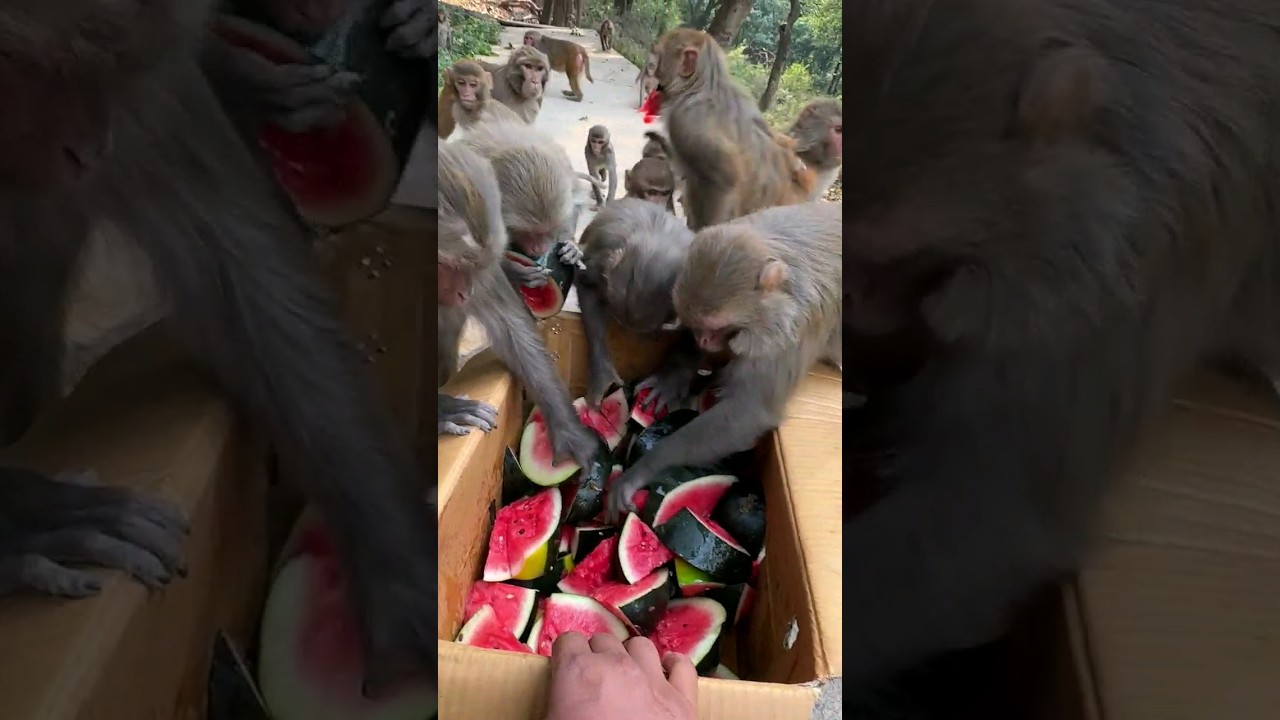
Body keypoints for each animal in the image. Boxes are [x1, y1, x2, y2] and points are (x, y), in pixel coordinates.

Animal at [0, 0, 436, 694]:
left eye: (103, 76)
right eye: (38, 72)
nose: (88, 148)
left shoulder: (147, 84)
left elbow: (242, 269)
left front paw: (402, 584)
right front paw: (28, 517)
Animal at [437, 140, 598, 466]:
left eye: (471, 269)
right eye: (454, 269)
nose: (465, 293)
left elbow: (513, 331)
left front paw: (569, 433)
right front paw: (445, 410)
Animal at [453, 120, 588, 294]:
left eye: (549, 231)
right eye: (528, 233)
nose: (539, 248)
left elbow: (575, 204)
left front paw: (572, 246)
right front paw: (514, 270)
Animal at [605, 202, 842, 520]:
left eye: (716, 325)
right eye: (696, 324)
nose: (703, 340)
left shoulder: (788, 337)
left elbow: (749, 413)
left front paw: (643, 468)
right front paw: (673, 377)